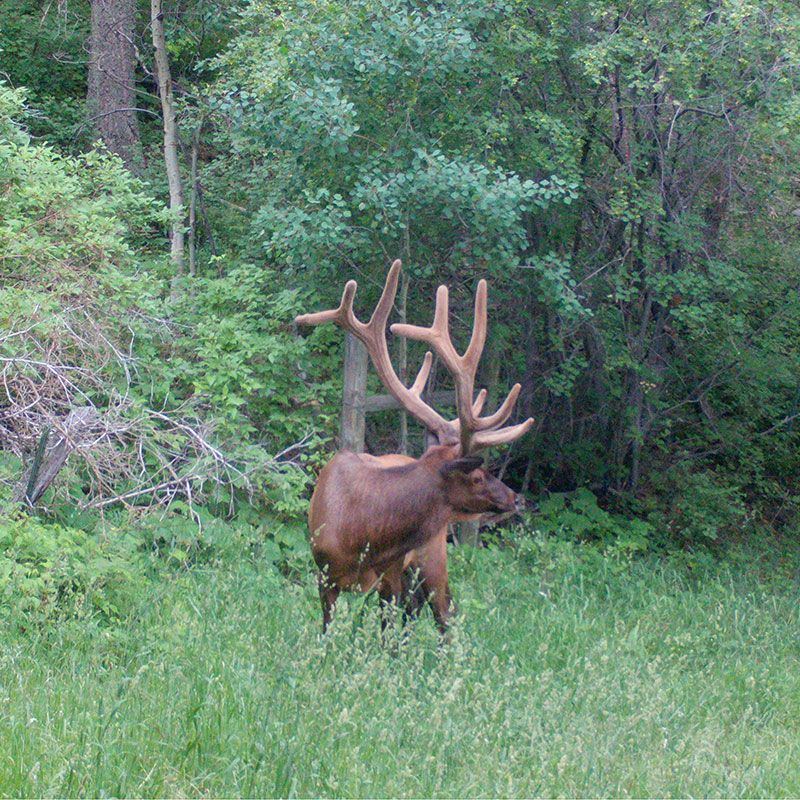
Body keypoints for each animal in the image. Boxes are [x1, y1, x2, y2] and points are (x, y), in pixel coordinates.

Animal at [295, 260, 533, 635]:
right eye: (477, 476)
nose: (516, 498)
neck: (359, 533)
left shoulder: (390, 575)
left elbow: (390, 637)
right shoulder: (324, 575)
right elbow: (328, 632)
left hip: (431, 555)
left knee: (443, 614)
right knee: (418, 613)